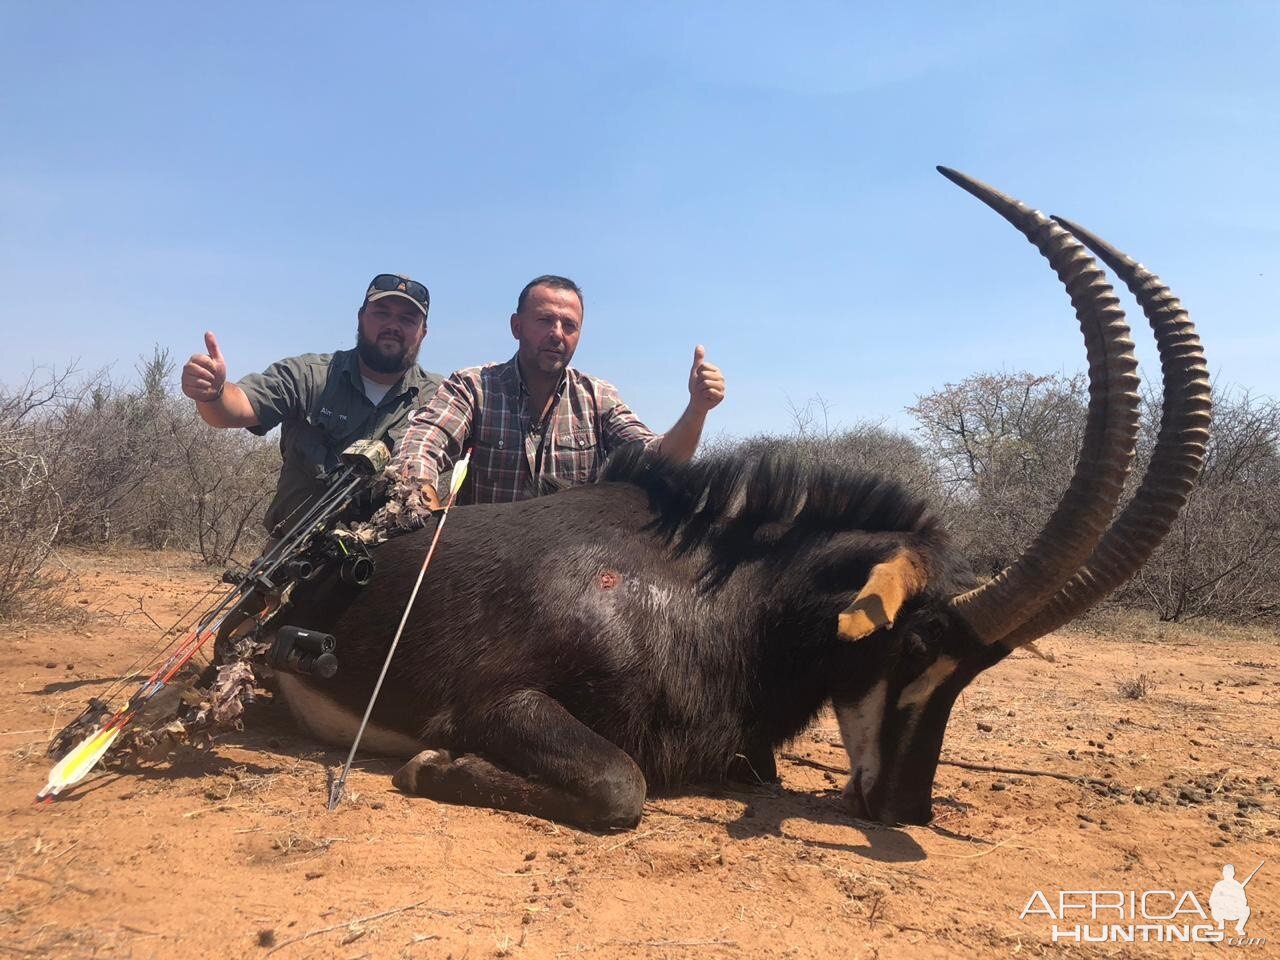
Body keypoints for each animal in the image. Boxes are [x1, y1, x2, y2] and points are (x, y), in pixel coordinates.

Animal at [272, 168, 1208, 829]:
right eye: (914, 645)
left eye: (973, 671)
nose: (904, 808)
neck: (716, 597)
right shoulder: (496, 702)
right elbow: (623, 784)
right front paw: (429, 767)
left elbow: (748, 767)